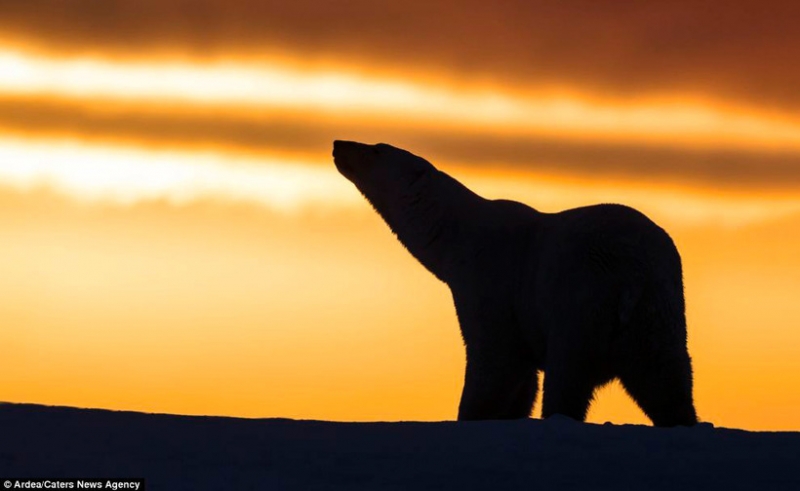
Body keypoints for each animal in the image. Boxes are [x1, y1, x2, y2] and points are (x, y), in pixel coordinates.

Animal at [332, 139, 692, 426]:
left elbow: (495, 362)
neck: (458, 236)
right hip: (658, 310)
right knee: (666, 377)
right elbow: (522, 381)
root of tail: (631, 268)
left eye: (377, 149)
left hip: (581, 299)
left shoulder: (491, 284)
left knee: (569, 373)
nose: (339, 143)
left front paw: (470, 416)